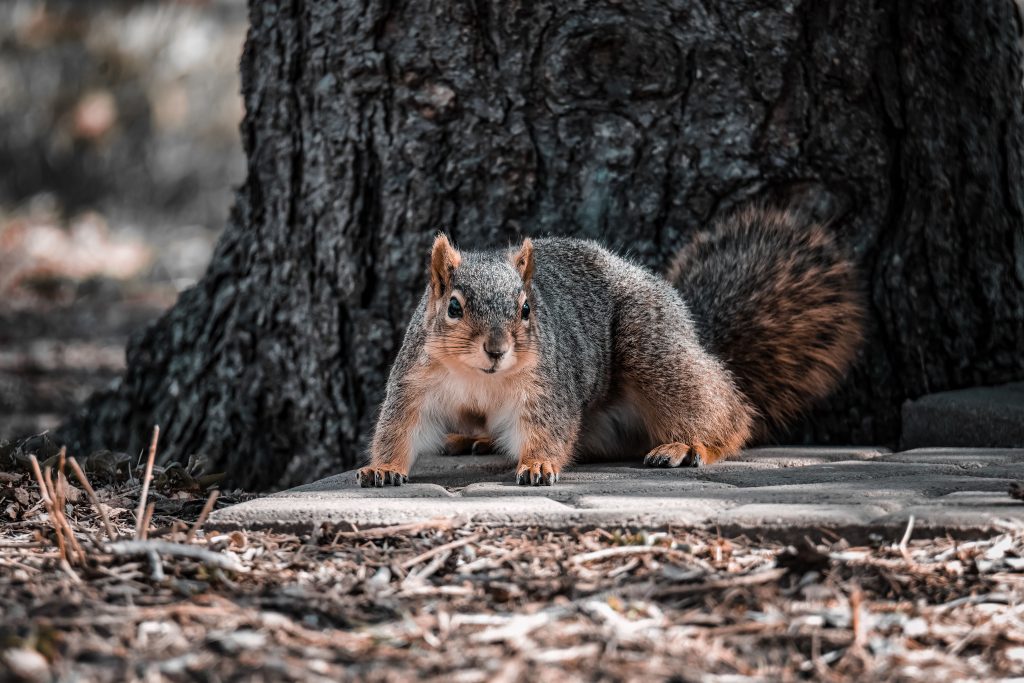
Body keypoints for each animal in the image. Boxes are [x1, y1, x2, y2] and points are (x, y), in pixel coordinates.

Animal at [358, 206, 864, 487]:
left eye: (526, 309)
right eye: (454, 307)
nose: (497, 349)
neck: (479, 376)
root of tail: (691, 329)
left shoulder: (547, 388)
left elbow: (548, 429)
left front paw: (538, 464)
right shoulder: (415, 381)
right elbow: (400, 428)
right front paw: (382, 468)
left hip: (652, 349)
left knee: (729, 413)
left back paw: (687, 445)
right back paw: (474, 438)